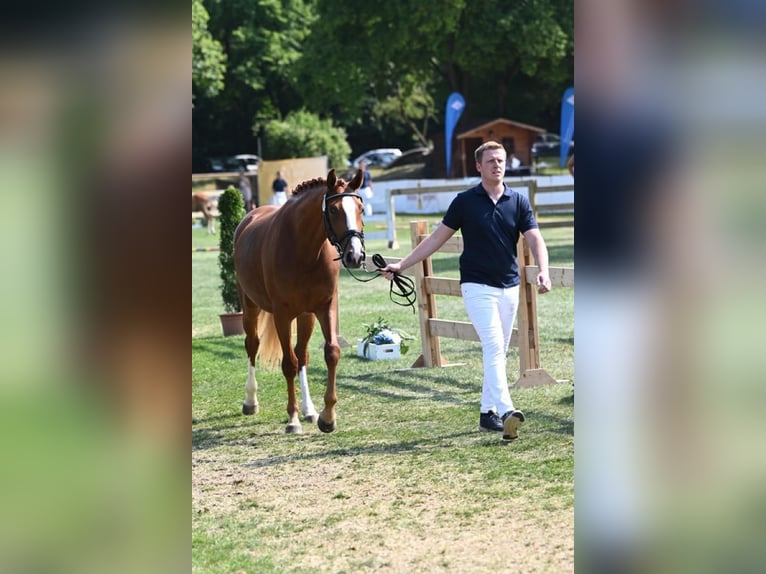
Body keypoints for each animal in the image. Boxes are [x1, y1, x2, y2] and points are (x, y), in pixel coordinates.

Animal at [234, 169, 366, 434]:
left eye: (361, 208)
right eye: (333, 209)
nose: (355, 255)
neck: (304, 250)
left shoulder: (325, 307)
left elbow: (331, 353)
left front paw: (327, 417)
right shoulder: (282, 315)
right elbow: (288, 364)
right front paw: (292, 419)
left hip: (306, 317)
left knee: (302, 354)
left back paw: (309, 410)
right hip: (250, 307)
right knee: (253, 345)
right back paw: (251, 401)